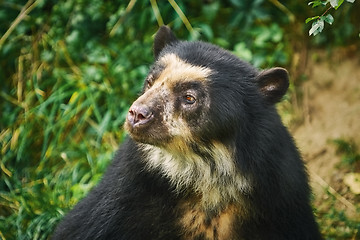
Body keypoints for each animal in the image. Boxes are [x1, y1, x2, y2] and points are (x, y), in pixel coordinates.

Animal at [52, 25, 322, 239]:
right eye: (149, 82)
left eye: (189, 98)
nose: (137, 114)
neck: (204, 174)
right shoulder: (123, 196)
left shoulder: (280, 201)